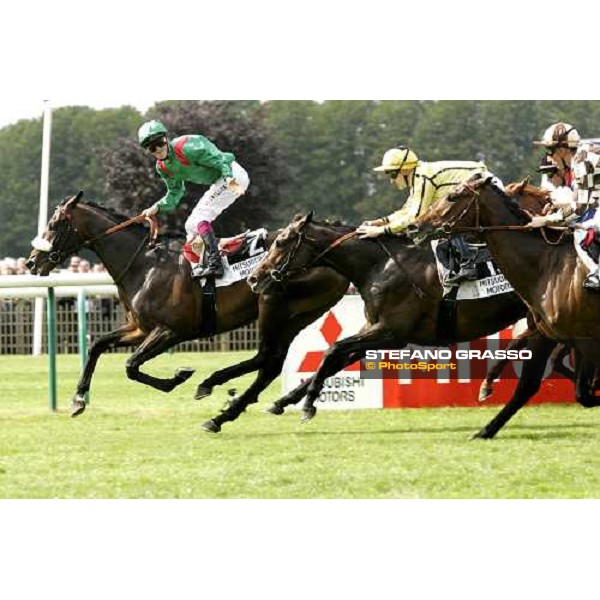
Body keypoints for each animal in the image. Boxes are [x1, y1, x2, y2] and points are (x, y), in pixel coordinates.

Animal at [27, 192, 346, 432]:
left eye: (55, 223)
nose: (32, 261)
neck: (145, 265)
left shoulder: (171, 331)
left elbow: (131, 365)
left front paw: (178, 376)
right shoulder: (140, 328)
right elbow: (97, 345)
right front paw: (78, 399)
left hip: (273, 303)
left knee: (268, 357)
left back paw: (215, 389)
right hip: (298, 315)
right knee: (271, 362)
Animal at [246, 213, 528, 420]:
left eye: (281, 242)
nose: (254, 278)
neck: (378, 266)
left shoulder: (392, 333)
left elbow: (332, 350)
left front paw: (307, 404)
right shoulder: (373, 329)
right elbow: (333, 358)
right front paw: (284, 401)